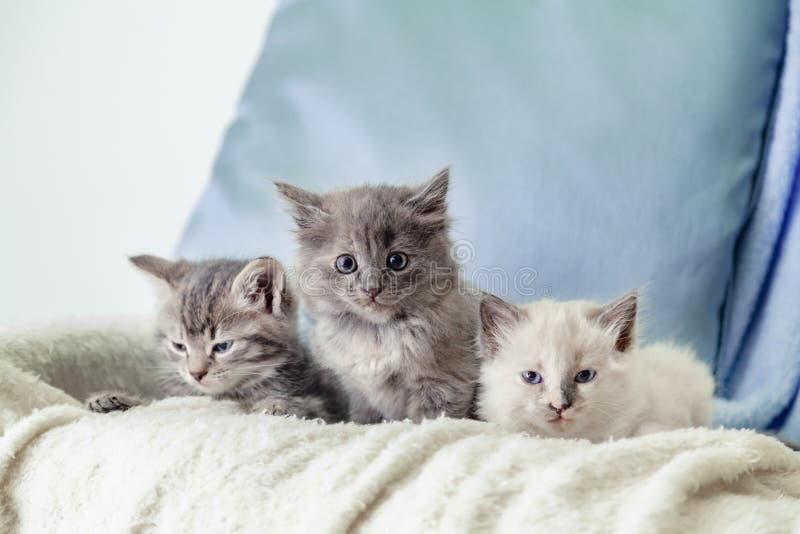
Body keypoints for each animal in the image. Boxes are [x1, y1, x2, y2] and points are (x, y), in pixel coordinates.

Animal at [86, 256, 344, 422]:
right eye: (179, 346)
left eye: (222, 346)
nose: (196, 374)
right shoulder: (176, 396)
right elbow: (157, 402)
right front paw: (112, 399)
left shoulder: (328, 404)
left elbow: (310, 407)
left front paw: (276, 404)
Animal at [276, 170, 478, 426]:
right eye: (346, 263)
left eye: (397, 260)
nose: (372, 289)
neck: (376, 335)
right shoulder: (355, 390)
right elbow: (363, 418)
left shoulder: (444, 383)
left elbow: (430, 419)